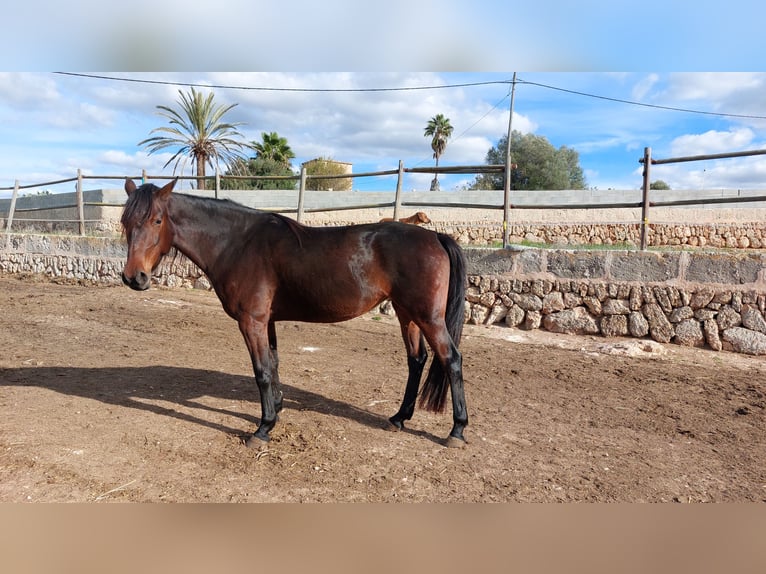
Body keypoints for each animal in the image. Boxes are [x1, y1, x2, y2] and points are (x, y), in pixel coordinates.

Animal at [120, 179, 468, 448]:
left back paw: (457, 430)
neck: (238, 243)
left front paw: (263, 428)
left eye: (156, 221)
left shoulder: (252, 322)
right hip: (406, 313)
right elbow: (274, 364)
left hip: (428, 317)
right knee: (416, 360)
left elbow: (261, 371)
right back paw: (398, 418)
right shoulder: (268, 321)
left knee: (451, 359)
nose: (134, 277)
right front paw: (276, 408)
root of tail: (435, 235)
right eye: (126, 222)